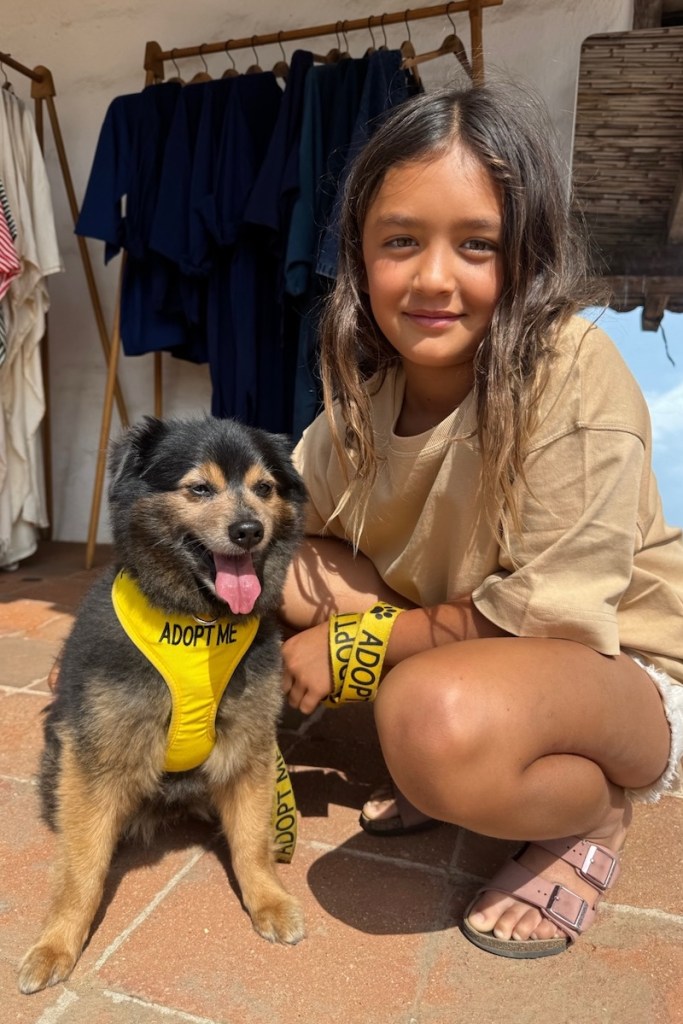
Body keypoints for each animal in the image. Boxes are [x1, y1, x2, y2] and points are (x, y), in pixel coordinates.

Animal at [18, 415, 308, 994]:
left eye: (265, 489)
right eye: (199, 489)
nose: (249, 530)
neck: (198, 623)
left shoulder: (250, 747)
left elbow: (253, 841)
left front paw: (267, 900)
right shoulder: (95, 758)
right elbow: (81, 867)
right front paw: (57, 943)